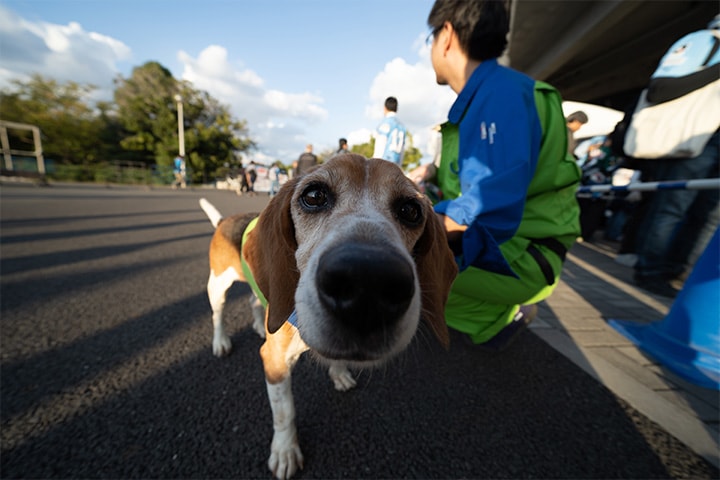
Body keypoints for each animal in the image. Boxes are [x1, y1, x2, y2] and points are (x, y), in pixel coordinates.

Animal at [198, 155, 456, 480]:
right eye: (313, 196)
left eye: (411, 211)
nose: (368, 282)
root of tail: (224, 221)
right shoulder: (275, 362)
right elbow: (285, 412)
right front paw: (285, 450)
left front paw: (339, 373)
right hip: (217, 286)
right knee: (218, 313)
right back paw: (221, 341)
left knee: (254, 302)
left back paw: (258, 324)